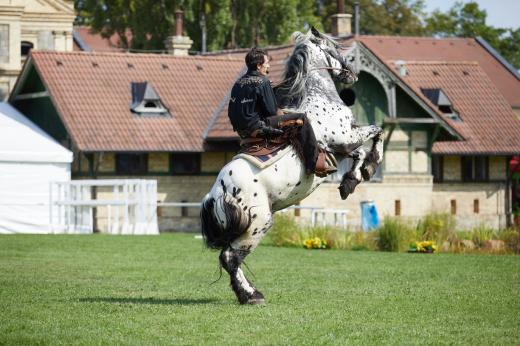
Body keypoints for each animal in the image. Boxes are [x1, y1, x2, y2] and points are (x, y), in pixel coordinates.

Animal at [201, 29, 384, 306]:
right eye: (333, 48)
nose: (352, 73)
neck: (319, 98)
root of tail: (217, 193)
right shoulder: (344, 137)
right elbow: (377, 132)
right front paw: (367, 169)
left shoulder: (341, 147)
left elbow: (359, 152)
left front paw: (351, 180)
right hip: (259, 223)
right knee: (231, 257)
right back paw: (251, 295)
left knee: (229, 257)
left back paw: (248, 293)